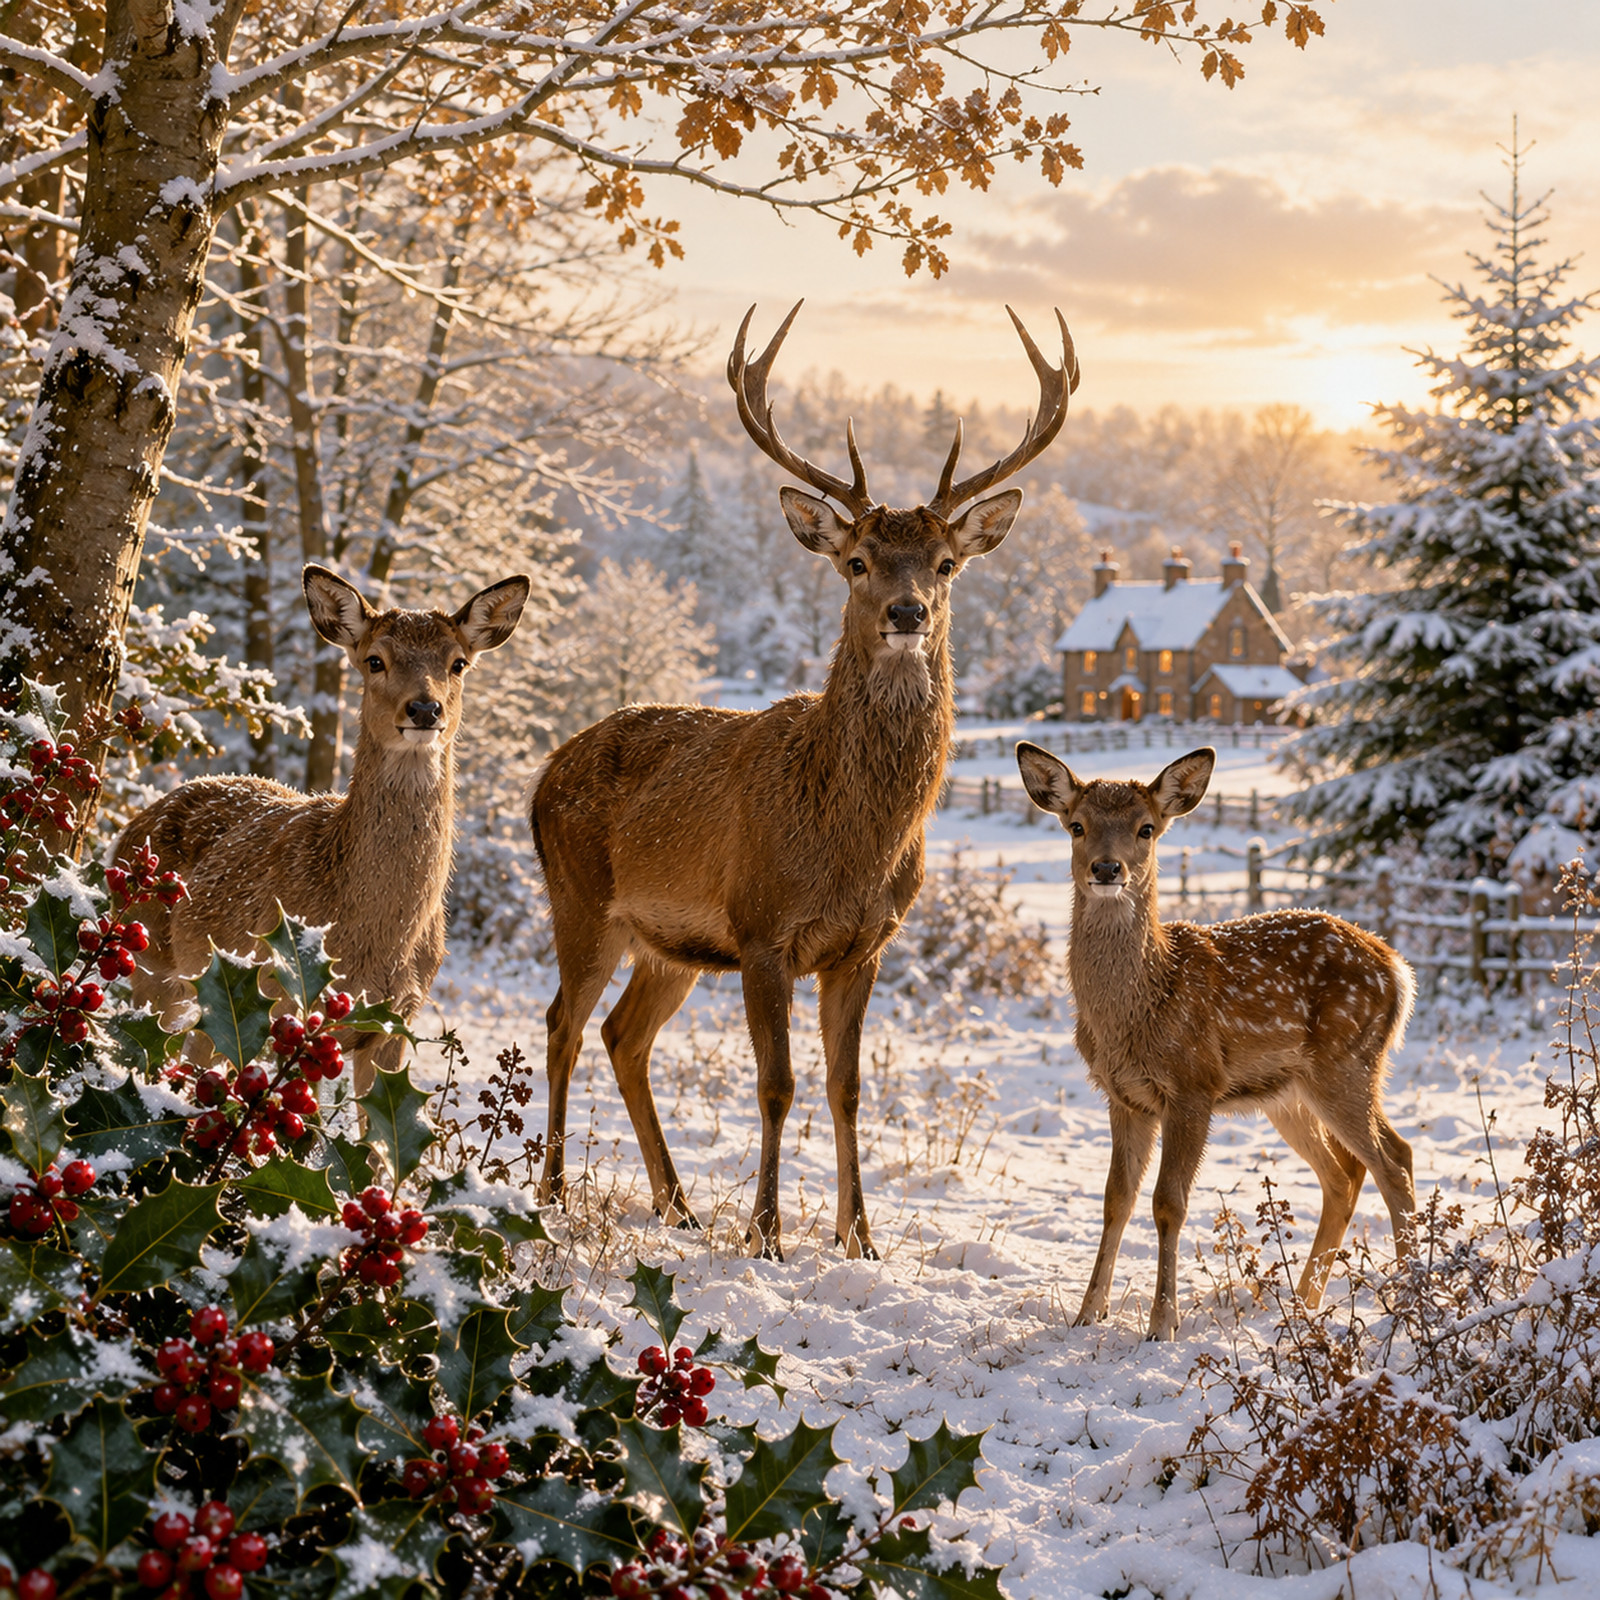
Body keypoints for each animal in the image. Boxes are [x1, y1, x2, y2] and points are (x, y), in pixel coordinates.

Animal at [118, 564, 529, 1094]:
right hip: (150, 964)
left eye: (458, 663)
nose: (424, 709)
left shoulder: (399, 1020)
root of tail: (130, 828)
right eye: (375, 660)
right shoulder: (292, 1008)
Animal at [530, 301, 1078, 1260]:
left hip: (665, 943)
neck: (853, 841)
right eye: (856, 561)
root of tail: (541, 776)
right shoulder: (760, 929)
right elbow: (777, 1084)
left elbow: (846, 1088)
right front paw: (769, 1236)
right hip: (582, 897)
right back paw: (557, 1192)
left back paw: (677, 1205)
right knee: (563, 1023)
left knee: (621, 1035)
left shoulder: (865, 944)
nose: (908, 612)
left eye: (945, 564)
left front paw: (860, 1239)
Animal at [1015, 742, 1417, 1340]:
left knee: (1393, 1161)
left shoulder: (1193, 1084)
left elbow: (1168, 1203)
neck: (1142, 1004)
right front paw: (1088, 1315)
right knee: (1347, 1172)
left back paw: (1414, 1299)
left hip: (1347, 1063)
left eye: (1147, 828)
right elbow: (1116, 1199)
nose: (1107, 868)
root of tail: (1397, 967)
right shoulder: (1123, 1095)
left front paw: (1162, 1324)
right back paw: (1304, 1304)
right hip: (1292, 1091)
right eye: (1076, 825)